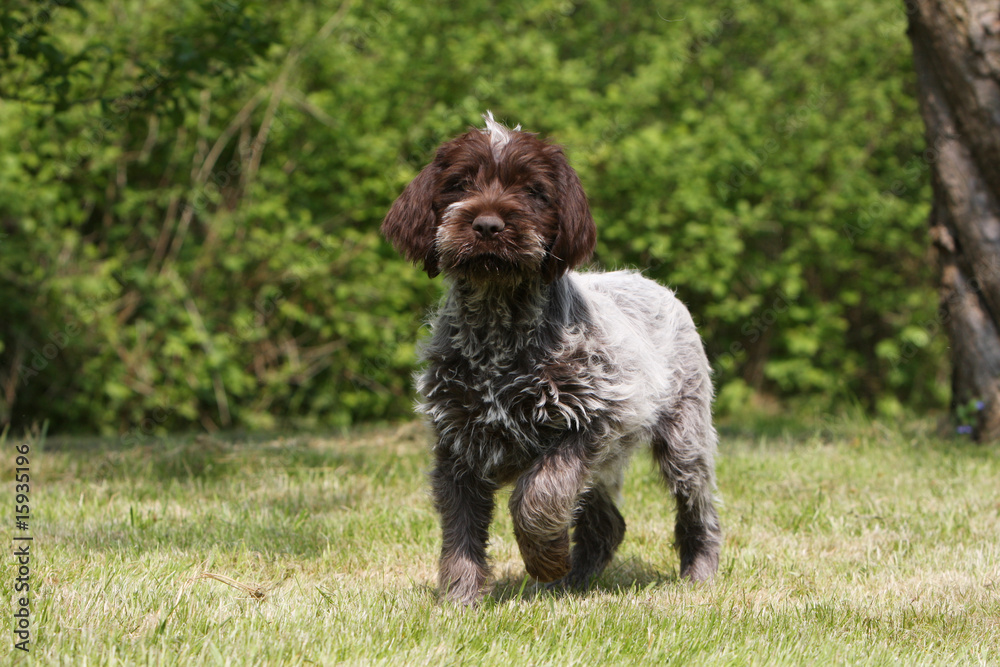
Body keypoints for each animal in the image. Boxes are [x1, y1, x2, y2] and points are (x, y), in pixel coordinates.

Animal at [380, 113, 720, 604]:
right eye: (460, 183)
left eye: (533, 191)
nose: (487, 225)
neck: (499, 327)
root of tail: (653, 284)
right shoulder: (456, 445)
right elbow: (460, 531)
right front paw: (461, 599)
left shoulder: (594, 419)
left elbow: (539, 494)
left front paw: (543, 559)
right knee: (607, 524)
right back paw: (575, 579)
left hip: (684, 439)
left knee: (698, 508)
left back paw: (699, 571)